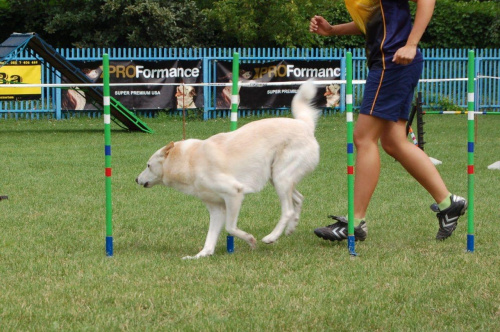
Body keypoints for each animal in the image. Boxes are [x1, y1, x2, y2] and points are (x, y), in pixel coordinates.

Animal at [136, 81, 320, 260]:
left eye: (148, 165)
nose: (136, 180)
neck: (189, 160)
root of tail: (305, 125)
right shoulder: (216, 209)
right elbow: (210, 240)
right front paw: (200, 255)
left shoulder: (234, 194)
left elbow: (230, 228)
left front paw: (250, 240)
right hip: (277, 178)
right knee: (299, 199)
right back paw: (291, 228)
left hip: (281, 179)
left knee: (287, 210)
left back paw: (272, 237)